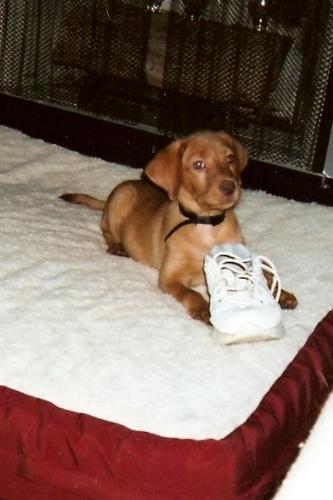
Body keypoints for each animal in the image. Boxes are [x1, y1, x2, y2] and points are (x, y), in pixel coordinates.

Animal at [59, 131, 296, 322]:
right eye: (198, 165)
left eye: (230, 159)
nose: (230, 187)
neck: (206, 225)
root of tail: (108, 199)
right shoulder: (170, 278)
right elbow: (191, 293)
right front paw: (203, 309)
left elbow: (263, 274)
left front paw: (281, 293)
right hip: (121, 198)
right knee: (106, 229)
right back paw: (117, 246)